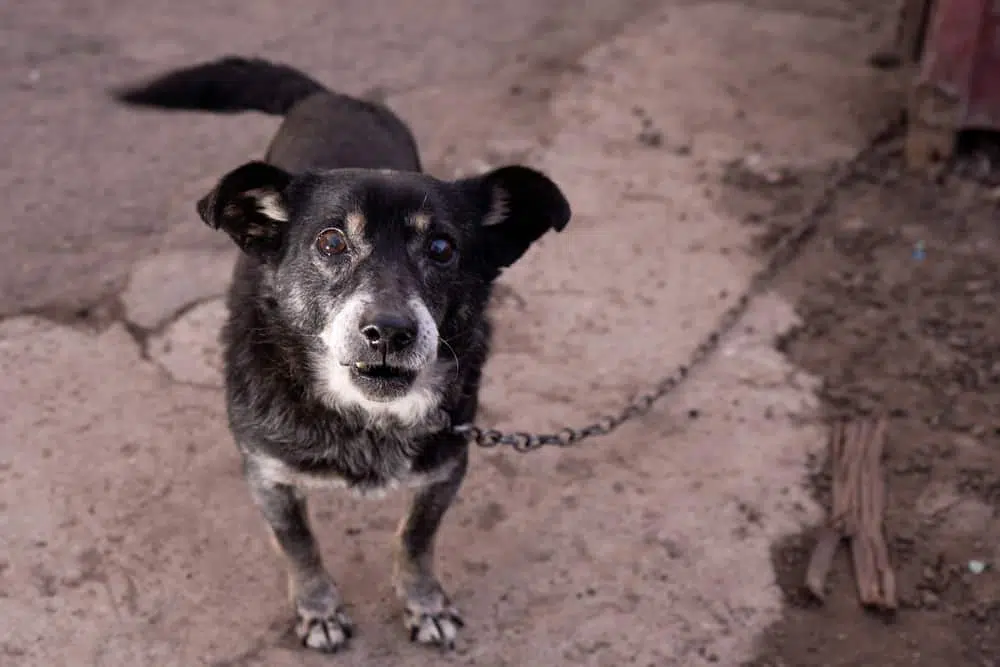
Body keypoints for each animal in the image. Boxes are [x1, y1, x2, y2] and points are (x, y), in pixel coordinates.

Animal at [111, 57, 572, 652]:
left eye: (442, 248)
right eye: (331, 242)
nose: (389, 332)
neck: (366, 419)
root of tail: (333, 96)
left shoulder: (446, 467)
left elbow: (416, 538)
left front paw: (424, 602)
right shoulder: (269, 477)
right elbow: (301, 546)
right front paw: (319, 609)